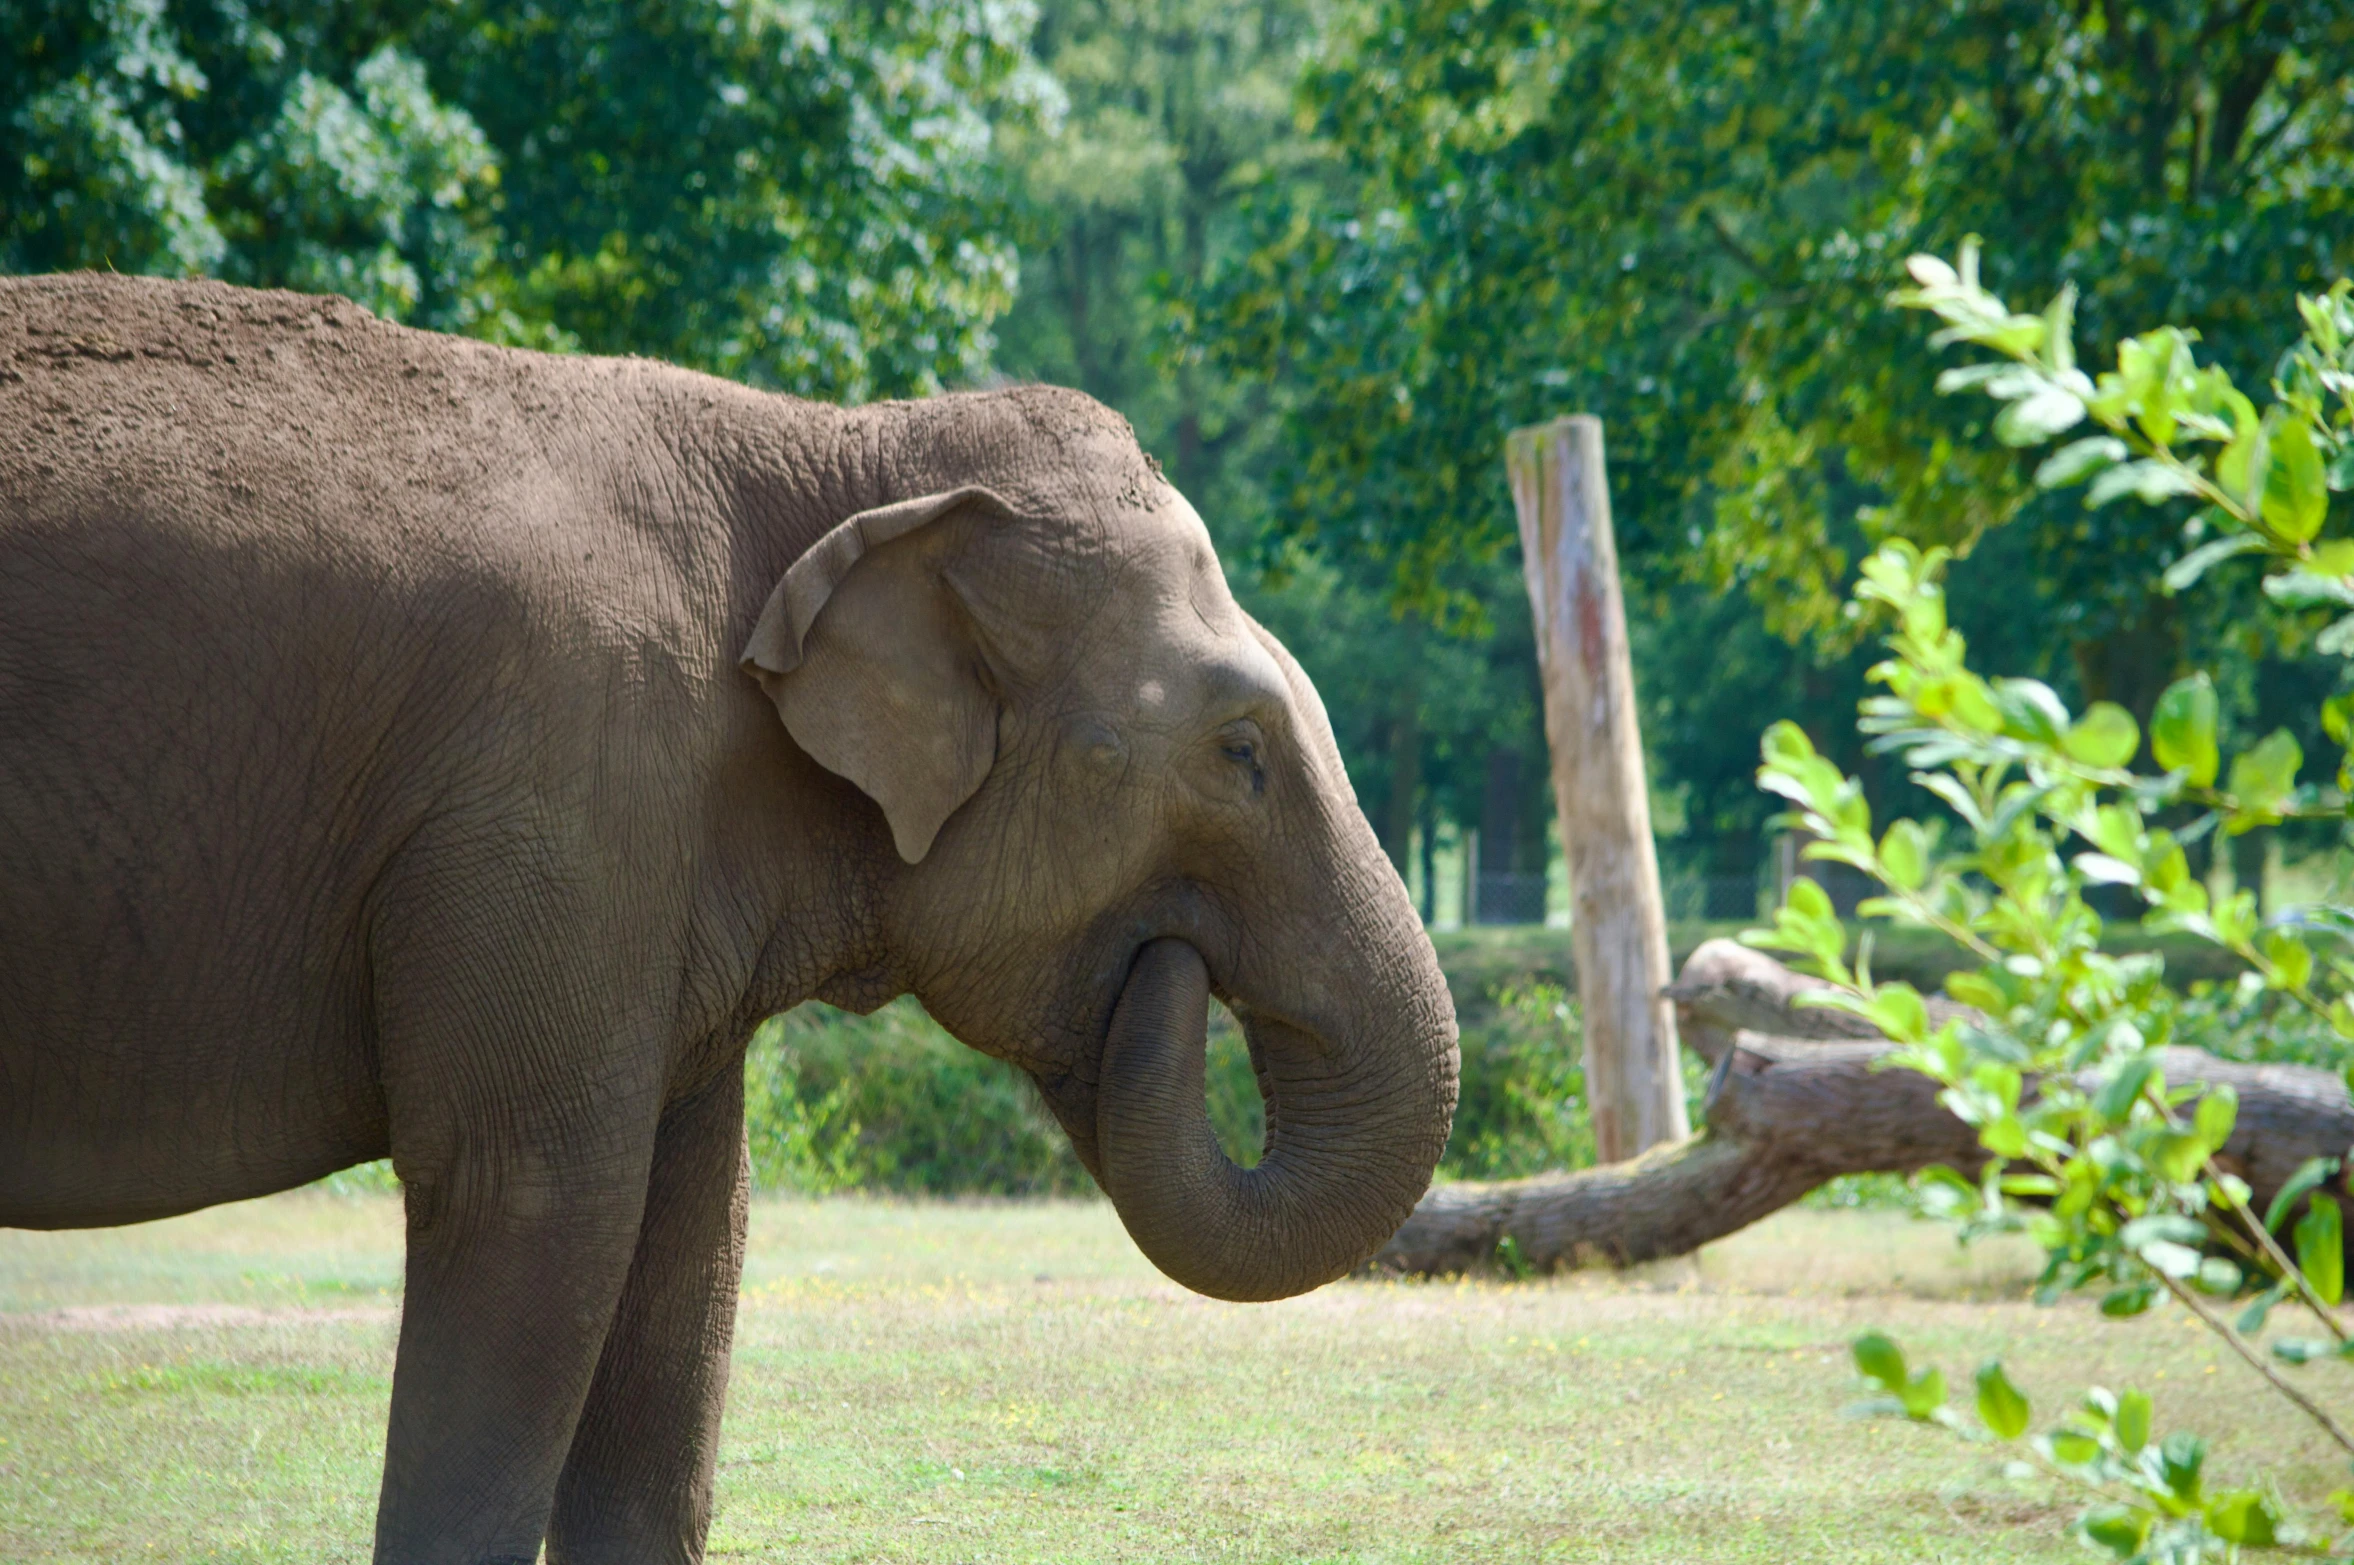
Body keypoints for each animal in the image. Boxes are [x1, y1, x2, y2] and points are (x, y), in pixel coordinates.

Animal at [0, 271, 1459, 1562]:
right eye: (1239, 747)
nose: (1171, 969)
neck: (828, 449)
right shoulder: (559, 798)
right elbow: (531, 1195)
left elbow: (697, 1218)